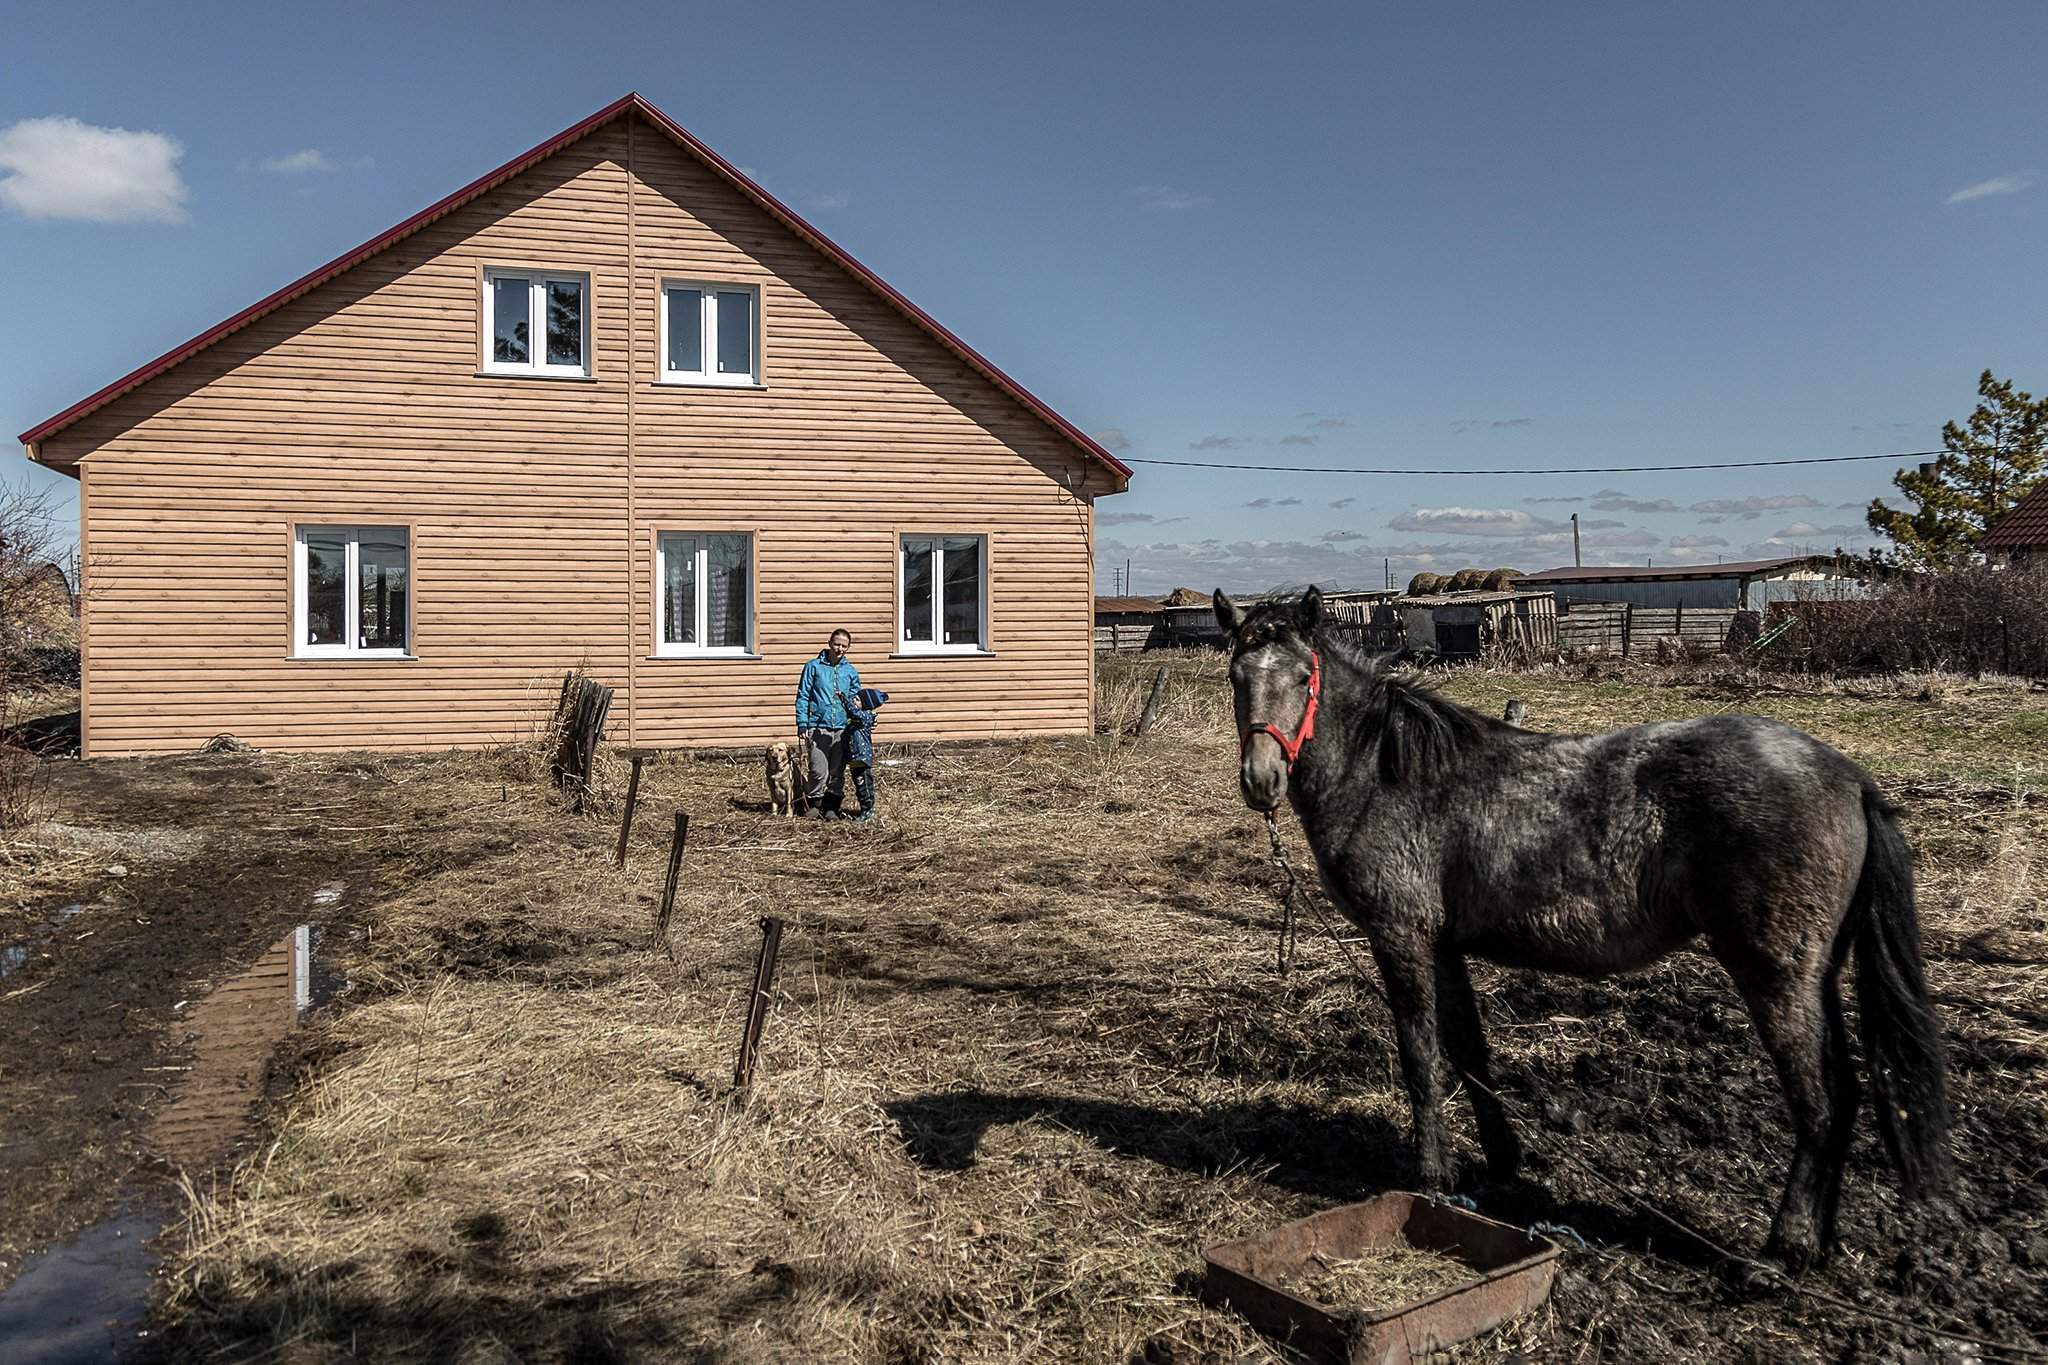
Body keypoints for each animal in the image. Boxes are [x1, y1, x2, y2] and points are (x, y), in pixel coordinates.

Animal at [1212, 581, 1949, 1268]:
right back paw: (1818, 1242)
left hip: (1776, 975)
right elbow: (1470, 1054)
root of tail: (1850, 778)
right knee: (1846, 1094)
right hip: (1815, 976)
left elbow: (1421, 1055)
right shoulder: (1445, 945)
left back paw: (1782, 1248)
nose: (1261, 779)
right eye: (1236, 676)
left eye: (1303, 677)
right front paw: (1503, 1167)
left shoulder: (1401, 936)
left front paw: (1433, 1176)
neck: (1387, 775)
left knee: (1818, 1101)